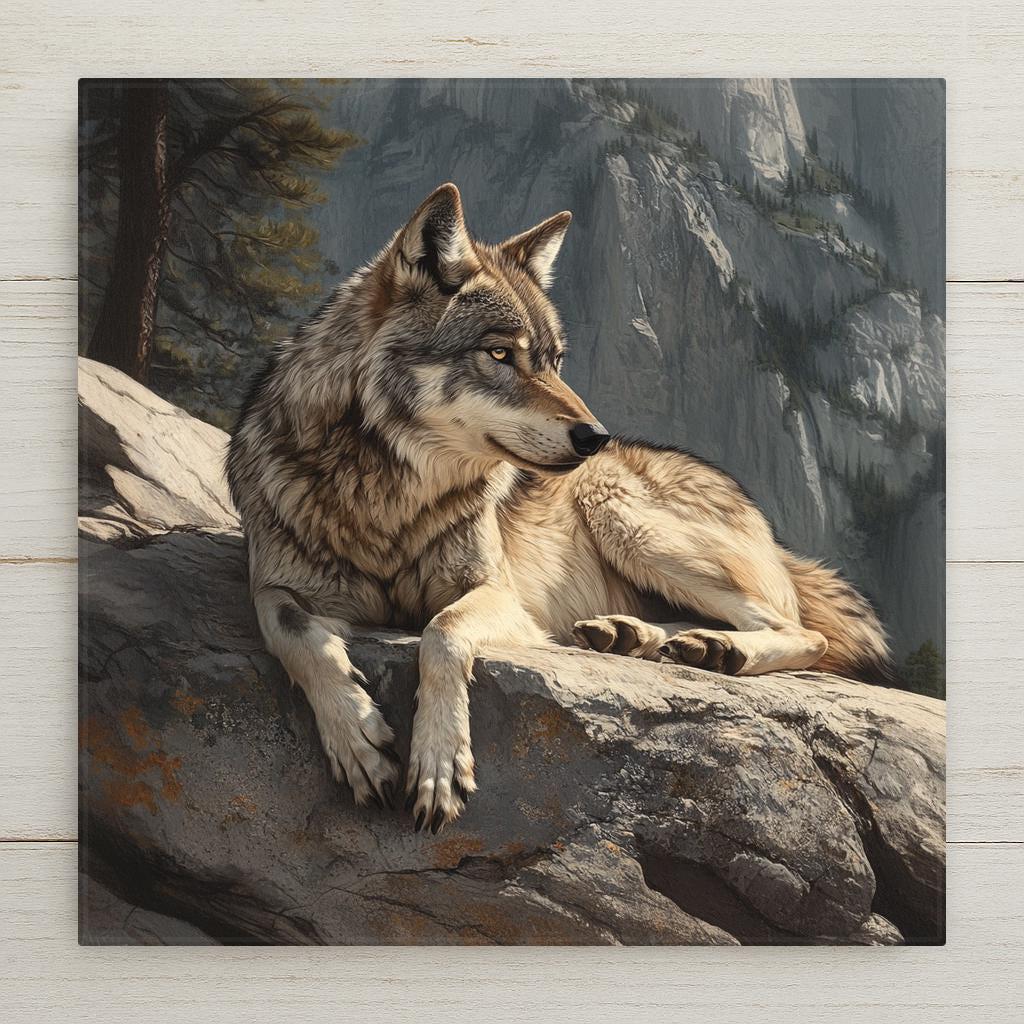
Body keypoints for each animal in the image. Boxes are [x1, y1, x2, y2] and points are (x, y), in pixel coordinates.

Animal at [227, 183, 893, 833]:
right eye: (500, 355)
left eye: (554, 360)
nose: (595, 435)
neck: (388, 496)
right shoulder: (273, 584)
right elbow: (296, 634)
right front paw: (356, 740)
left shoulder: (500, 594)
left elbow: (441, 633)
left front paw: (439, 762)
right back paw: (637, 637)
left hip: (623, 515)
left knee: (802, 634)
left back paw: (713, 648)